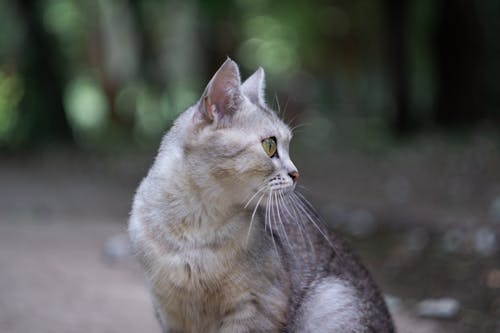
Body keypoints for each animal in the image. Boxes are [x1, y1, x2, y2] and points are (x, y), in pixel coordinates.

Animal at [129, 58, 394, 330]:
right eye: (270, 145)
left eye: (287, 145)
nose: (296, 173)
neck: (196, 226)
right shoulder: (169, 311)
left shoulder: (258, 305)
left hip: (331, 301)